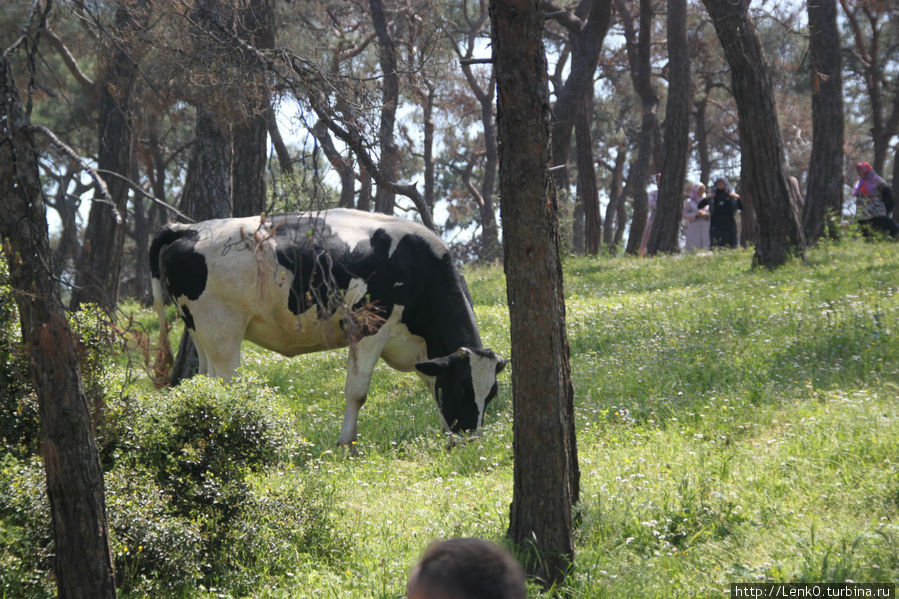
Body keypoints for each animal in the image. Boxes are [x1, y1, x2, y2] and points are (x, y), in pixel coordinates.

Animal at [151, 209, 510, 448]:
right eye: (463, 388)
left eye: (491, 393)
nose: (469, 439)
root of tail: (188, 228)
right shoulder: (368, 328)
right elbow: (357, 391)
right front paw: (346, 444)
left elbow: (430, 385)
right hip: (222, 331)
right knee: (227, 387)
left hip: (200, 331)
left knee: (204, 383)